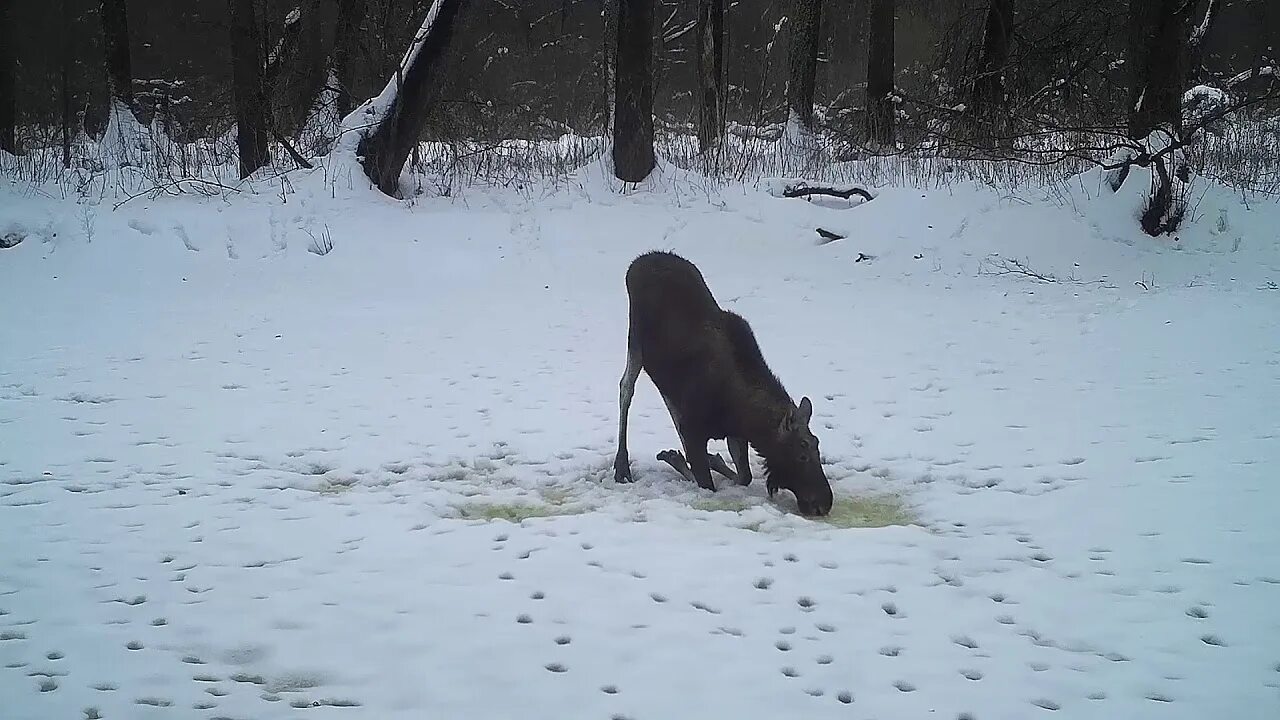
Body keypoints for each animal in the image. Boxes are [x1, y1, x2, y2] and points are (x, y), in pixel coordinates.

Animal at [611, 249, 834, 512]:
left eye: (817, 444)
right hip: (636, 342)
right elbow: (706, 483)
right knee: (626, 388)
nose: (824, 503)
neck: (741, 414)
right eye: (801, 454)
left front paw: (707, 459)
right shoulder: (695, 428)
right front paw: (681, 459)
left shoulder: (731, 432)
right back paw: (622, 466)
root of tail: (638, 262)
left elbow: (744, 476)